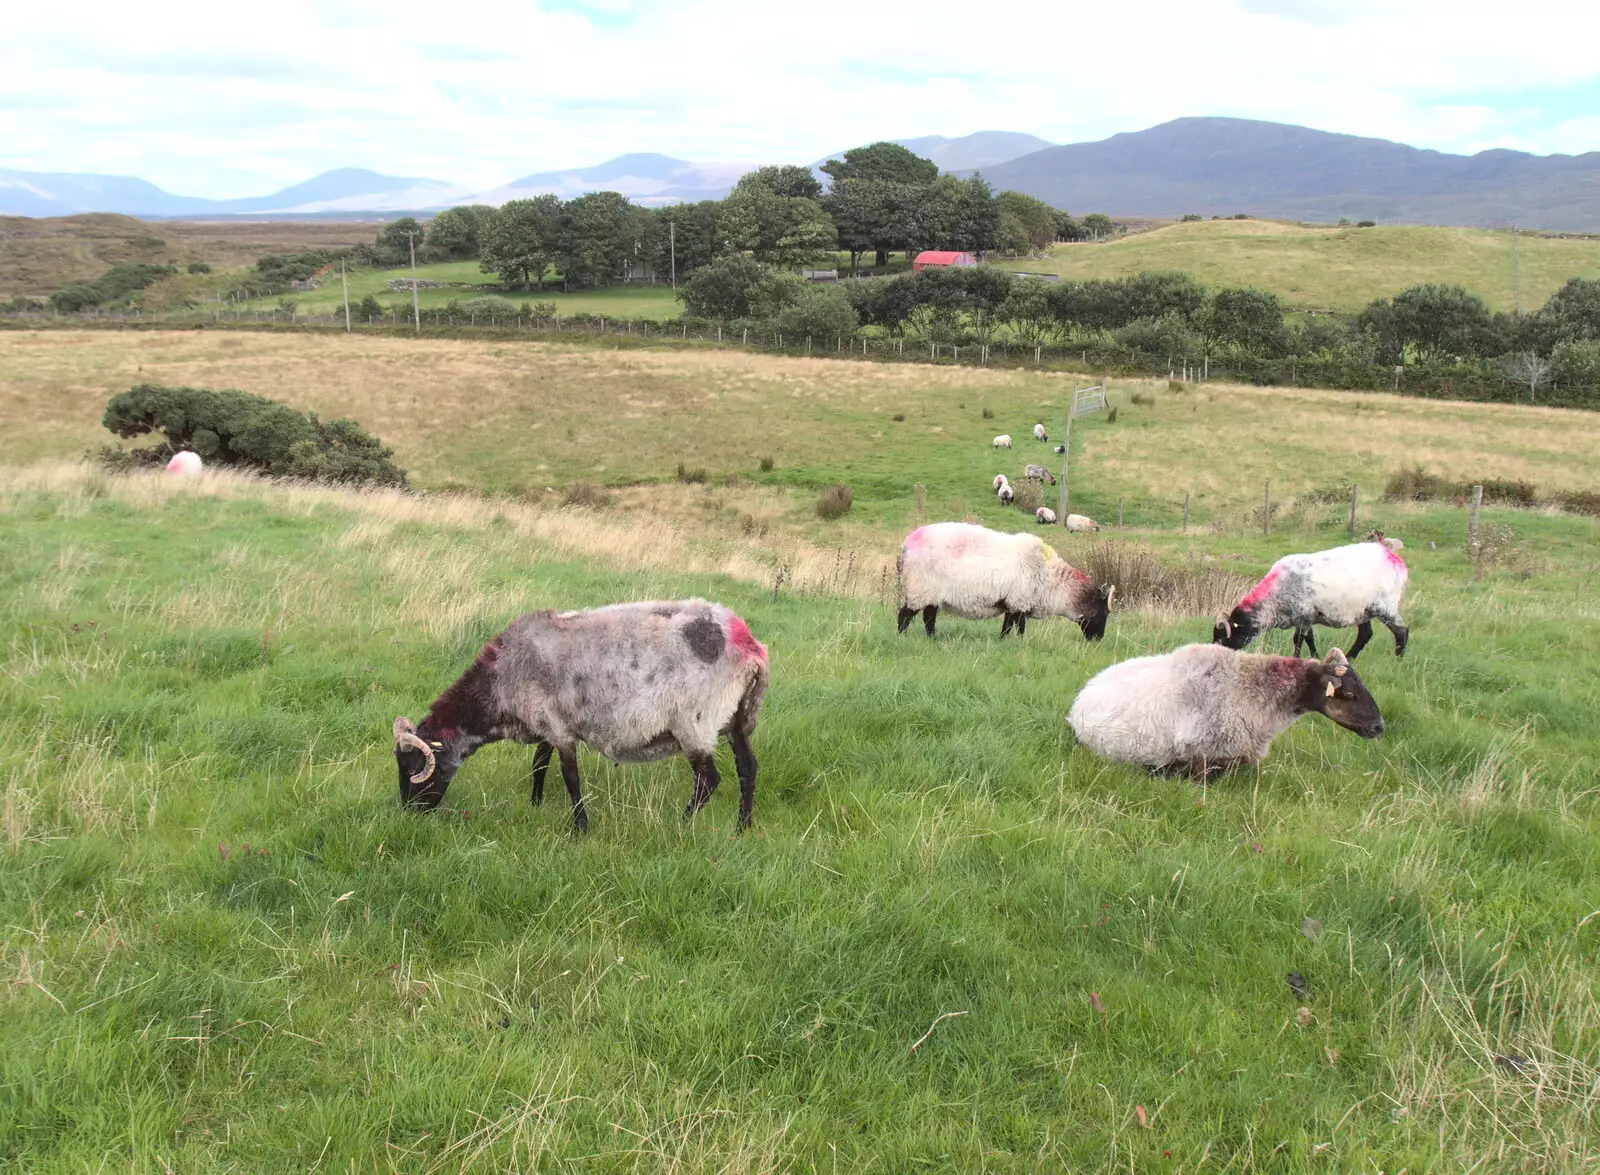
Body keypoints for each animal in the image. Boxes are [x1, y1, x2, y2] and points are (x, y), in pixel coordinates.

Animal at [392, 601, 768, 832]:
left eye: (412, 769)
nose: (410, 813)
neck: (502, 680)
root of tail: (749, 646)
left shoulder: (559, 729)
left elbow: (570, 777)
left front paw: (581, 827)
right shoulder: (545, 726)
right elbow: (539, 765)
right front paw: (535, 804)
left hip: (695, 722)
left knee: (708, 779)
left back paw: (682, 822)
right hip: (736, 719)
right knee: (748, 767)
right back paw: (743, 826)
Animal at [896, 521, 1107, 640]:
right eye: (1103, 613)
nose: (1098, 640)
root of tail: (907, 544)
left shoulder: (1012, 602)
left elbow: (1008, 625)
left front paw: (1003, 641)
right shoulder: (1020, 600)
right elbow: (1020, 626)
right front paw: (1020, 642)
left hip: (930, 593)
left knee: (928, 617)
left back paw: (932, 639)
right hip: (920, 587)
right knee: (905, 615)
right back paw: (902, 638)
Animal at [1209, 544, 1414, 662]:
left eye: (1222, 638)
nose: (1213, 656)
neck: (1273, 597)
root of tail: (1395, 559)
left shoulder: (1303, 614)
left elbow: (1299, 639)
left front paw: (1297, 658)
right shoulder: (1306, 617)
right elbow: (1309, 639)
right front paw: (1316, 657)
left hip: (1385, 605)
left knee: (1401, 631)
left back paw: (1398, 660)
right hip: (1362, 610)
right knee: (1365, 634)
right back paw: (1349, 658)